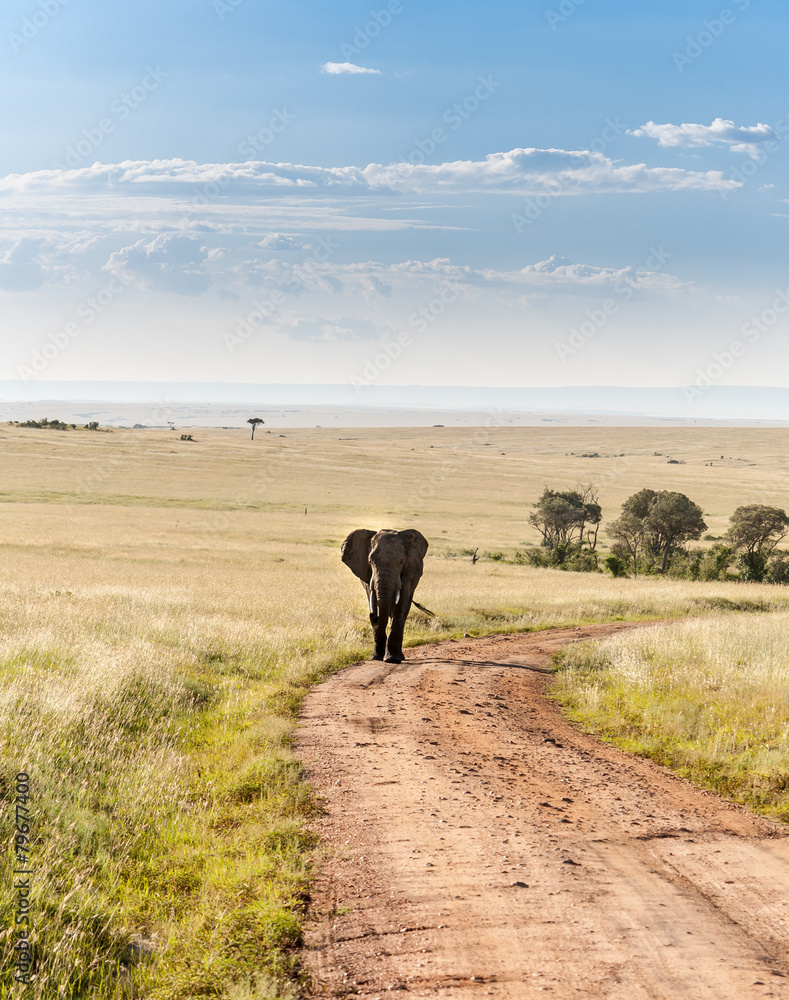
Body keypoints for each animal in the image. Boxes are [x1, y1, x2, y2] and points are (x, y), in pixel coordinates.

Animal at [341, 528, 429, 663]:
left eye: (401, 562)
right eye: (370, 561)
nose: (372, 616)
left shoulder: (408, 573)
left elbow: (400, 606)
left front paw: (392, 659)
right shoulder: (368, 577)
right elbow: (373, 600)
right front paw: (376, 657)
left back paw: (399, 657)